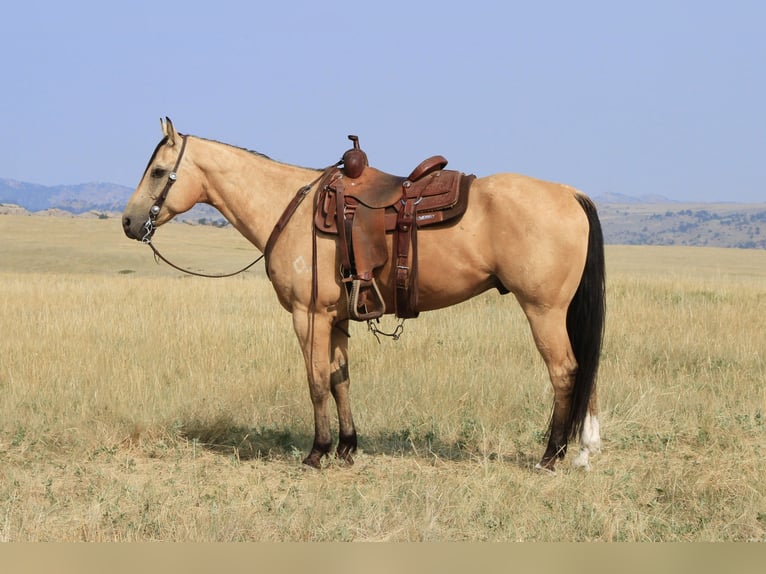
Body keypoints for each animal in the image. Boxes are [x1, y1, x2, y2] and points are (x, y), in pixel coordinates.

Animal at [124, 117, 608, 472]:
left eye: (159, 172)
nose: (129, 222)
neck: (289, 207)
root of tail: (570, 193)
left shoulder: (308, 316)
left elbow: (316, 381)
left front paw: (317, 452)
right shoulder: (336, 318)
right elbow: (341, 380)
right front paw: (346, 447)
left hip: (543, 311)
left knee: (565, 372)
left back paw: (551, 455)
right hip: (562, 313)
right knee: (587, 368)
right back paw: (583, 451)